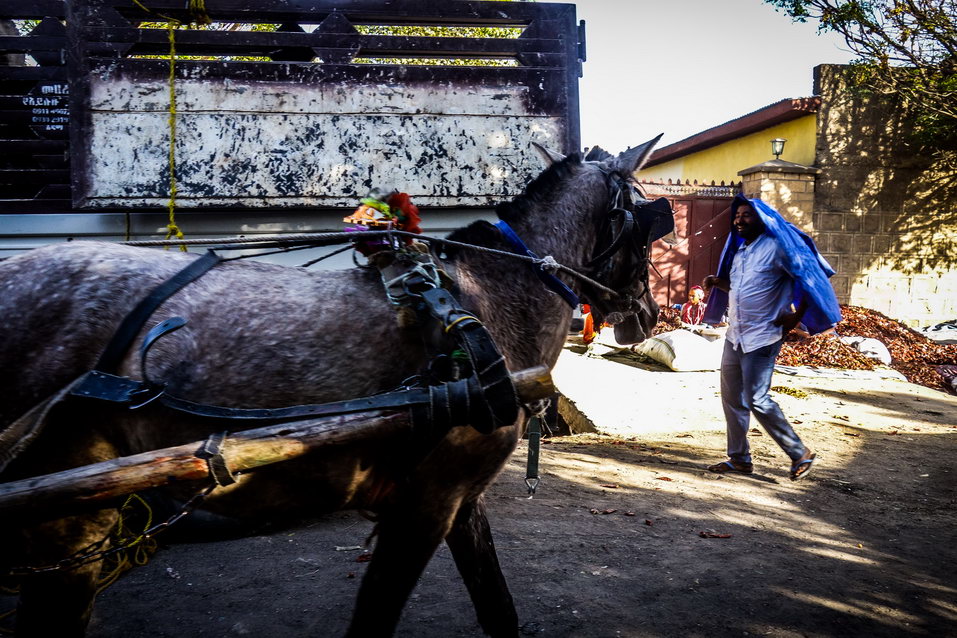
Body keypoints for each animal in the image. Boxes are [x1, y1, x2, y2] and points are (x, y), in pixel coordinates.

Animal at [0, 138, 668, 636]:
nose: (652, 314)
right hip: (68, 518)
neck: (486, 298)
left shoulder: (458, 496)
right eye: (649, 221)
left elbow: (497, 606)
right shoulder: (429, 500)